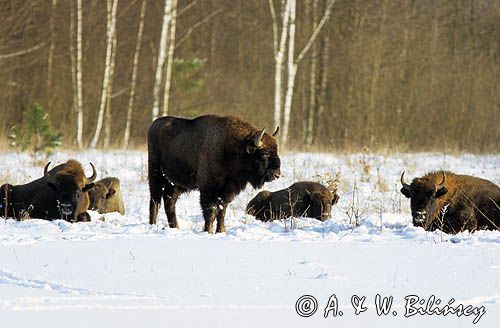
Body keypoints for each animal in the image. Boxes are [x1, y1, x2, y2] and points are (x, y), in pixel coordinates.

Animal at [147, 114, 282, 233]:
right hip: (156, 176)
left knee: (169, 204)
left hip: (174, 184)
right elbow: (211, 211)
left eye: (276, 150)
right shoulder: (208, 188)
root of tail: (153, 124)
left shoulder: (226, 191)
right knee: (155, 202)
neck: (232, 148)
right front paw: (209, 231)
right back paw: (153, 225)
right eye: (265, 153)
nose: (277, 175)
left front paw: (221, 231)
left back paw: (175, 227)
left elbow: (222, 212)